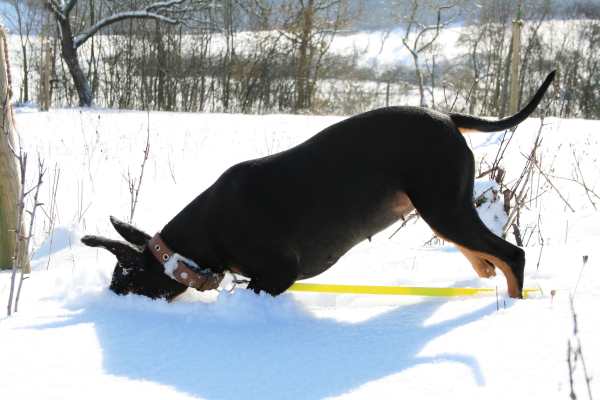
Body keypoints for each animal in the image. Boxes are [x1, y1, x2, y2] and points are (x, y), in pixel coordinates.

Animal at [82, 70, 556, 300]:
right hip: (438, 208)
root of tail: (448, 117)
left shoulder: (278, 275)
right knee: (486, 257)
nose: (110, 303)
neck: (201, 241)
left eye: (124, 282)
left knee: (512, 256)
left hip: (443, 207)